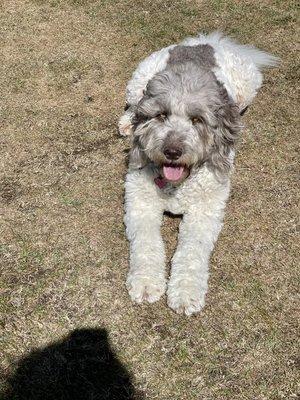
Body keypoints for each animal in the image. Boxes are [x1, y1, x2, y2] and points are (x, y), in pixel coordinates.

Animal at [118, 32, 278, 316]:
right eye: (161, 115)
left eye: (197, 120)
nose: (172, 151)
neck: (178, 183)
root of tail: (205, 41)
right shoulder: (140, 201)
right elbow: (146, 243)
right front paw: (146, 283)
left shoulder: (205, 212)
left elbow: (192, 252)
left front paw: (185, 293)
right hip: (138, 81)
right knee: (133, 105)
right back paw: (127, 123)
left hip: (247, 88)